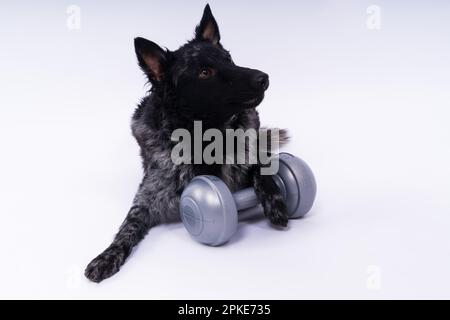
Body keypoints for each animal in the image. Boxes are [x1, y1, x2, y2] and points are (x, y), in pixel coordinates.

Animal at [85, 3, 288, 282]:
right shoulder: (146, 199)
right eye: (204, 72)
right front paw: (106, 256)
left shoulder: (250, 155)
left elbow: (262, 168)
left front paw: (275, 203)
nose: (263, 78)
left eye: (228, 59)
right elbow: (128, 226)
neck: (206, 138)